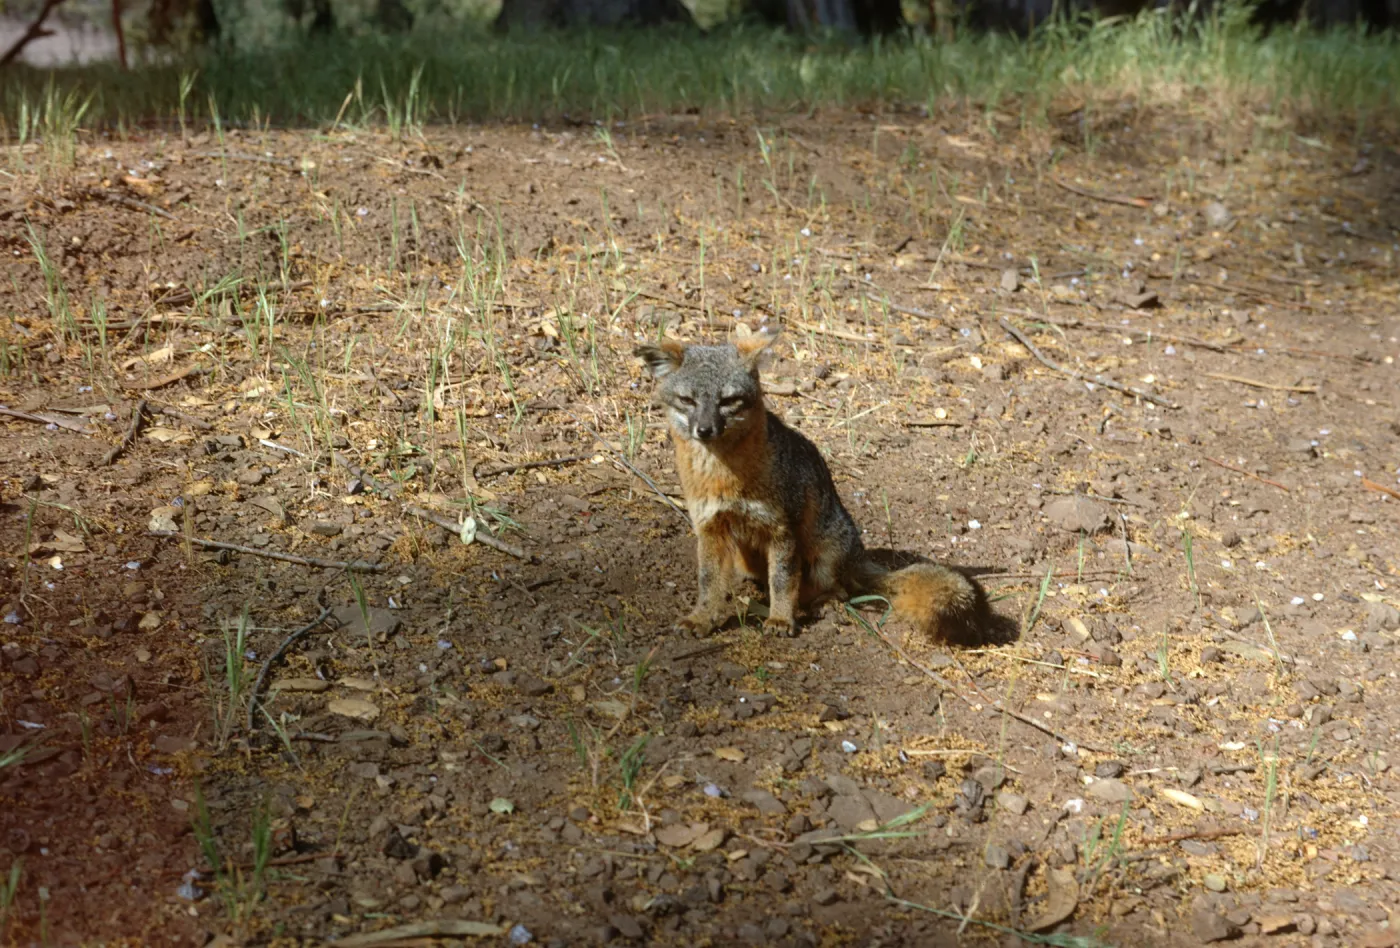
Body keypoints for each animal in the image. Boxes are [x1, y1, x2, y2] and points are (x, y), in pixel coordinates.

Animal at [635, 327, 1000, 643]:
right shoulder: (711, 529)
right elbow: (709, 583)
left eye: (728, 401)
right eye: (687, 400)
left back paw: (817, 605)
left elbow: (783, 581)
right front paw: (703, 617)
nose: (705, 429)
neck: (724, 477)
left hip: (823, 556)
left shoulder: (782, 529)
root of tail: (857, 554)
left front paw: (781, 619)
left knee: (836, 589)